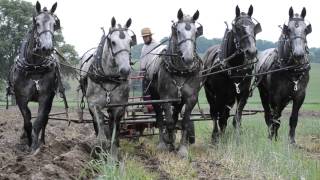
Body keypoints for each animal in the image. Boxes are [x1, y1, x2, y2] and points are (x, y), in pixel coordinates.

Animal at [7, 1, 62, 153]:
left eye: (54, 24)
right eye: (37, 23)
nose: (47, 48)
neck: (35, 68)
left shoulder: (45, 97)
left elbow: (38, 121)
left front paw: (35, 147)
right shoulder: (20, 98)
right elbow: (27, 120)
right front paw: (27, 141)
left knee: (45, 119)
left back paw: (42, 141)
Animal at [80, 16, 136, 158]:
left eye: (130, 42)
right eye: (113, 42)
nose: (125, 70)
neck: (108, 77)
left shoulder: (118, 107)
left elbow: (114, 136)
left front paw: (113, 157)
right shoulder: (94, 105)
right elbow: (101, 136)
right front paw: (100, 154)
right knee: (96, 125)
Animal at [146, 8, 202, 158]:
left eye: (196, 31)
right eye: (178, 31)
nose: (188, 58)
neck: (181, 71)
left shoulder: (191, 98)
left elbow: (185, 122)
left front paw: (182, 149)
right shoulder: (165, 98)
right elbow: (169, 122)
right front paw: (168, 141)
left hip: (179, 100)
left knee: (176, 115)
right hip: (154, 97)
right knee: (160, 118)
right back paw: (162, 142)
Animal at [256, 7, 312, 143]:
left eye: (305, 30)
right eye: (289, 29)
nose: (299, 54)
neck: (292, 69)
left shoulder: (299, 96)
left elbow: (293, 118)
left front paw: (291, 141)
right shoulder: (276, 96)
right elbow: (275, 118)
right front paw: (272, 139)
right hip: (264, 94)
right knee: (269, 116)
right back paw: (271, 134)